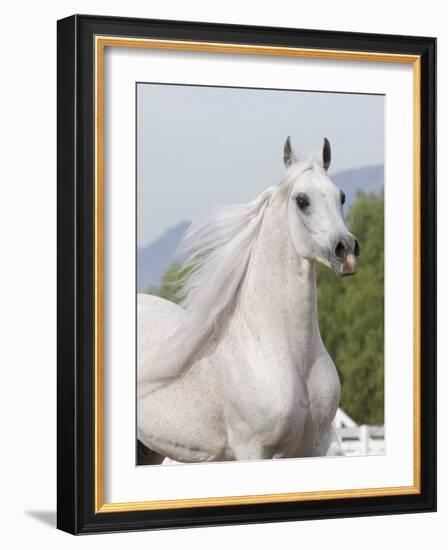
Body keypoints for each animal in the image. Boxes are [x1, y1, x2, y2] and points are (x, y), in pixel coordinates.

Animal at [136, 139, 360, 466]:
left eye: (341, 196)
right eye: (302, 200)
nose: (347, 250)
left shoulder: (321, 445)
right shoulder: (252, 449)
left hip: (148, 449)